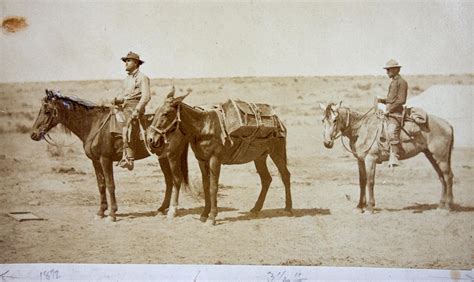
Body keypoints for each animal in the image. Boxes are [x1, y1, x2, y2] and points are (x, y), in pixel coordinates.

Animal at [29, 89, 189, 221]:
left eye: (47, 111)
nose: (33, 134)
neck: (93, 125)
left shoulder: (105, 159)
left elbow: (110, 184)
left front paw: (112, 214)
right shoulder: (95, 161)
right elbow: (101, 184)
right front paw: (101, 212)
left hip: (172, 157)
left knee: (176, 180)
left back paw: (172, 211)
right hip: (163, 158)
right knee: (169, 181)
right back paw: (161, 209)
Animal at [146, 89, 292, 226]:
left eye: (166, 113)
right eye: (155, 112)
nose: (151, 139)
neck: (203, 128)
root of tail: (279, 121)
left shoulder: (215, 160)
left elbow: (213, 187)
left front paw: (212, 217)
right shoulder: (202, 161)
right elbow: (206, 186)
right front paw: (204, 214)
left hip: (277, 152)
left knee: (285, 175)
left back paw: (288, 208)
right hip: (259, 157)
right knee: (266, 179)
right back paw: (256, 209)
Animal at [320, 101, 454, 214]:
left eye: (335, 120)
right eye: (323, 120)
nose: (327, 143)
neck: (361, 129)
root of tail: (447, 124)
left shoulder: (370, 159)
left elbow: (370, 182)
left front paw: (369, 207)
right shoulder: (360, 160)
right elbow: (362, 181)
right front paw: (359, 207)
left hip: (441, 157)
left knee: (448, 177)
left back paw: (448, 207)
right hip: (431, 156)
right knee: (441, 177)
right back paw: (441, 206)